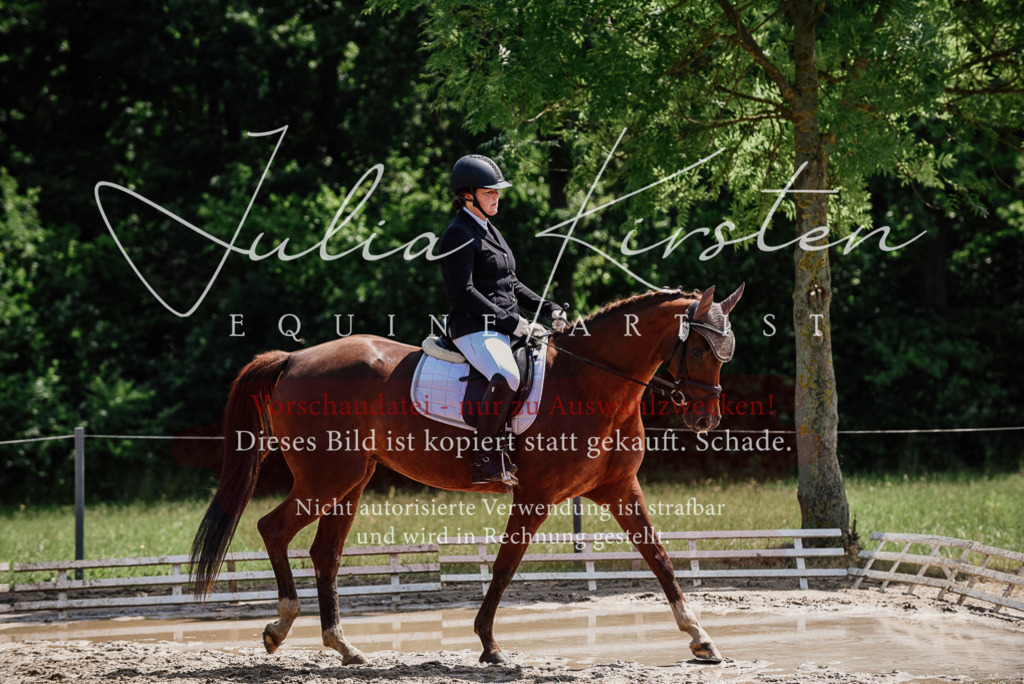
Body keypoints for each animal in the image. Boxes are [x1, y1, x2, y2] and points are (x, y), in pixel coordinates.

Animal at [189, 284, 744, 665]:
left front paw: (701, 639)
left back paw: (343, 646)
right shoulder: (535, 495)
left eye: (726, 353)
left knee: (326, 552)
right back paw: (279, 627)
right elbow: (504, 566)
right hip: (324, 478)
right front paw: (489, 644)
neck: (591, 382)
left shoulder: (620, 490)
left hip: (350, 481)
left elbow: (661, 558)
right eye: (698, 350)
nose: (706, 420)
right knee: (273, 528)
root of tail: (294, 357)